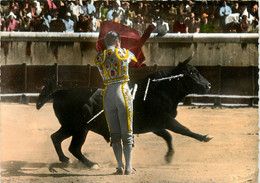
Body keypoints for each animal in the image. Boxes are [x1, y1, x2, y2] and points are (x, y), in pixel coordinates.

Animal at [36, 57, 213, 169]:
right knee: (72, 147)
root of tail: (60, 93)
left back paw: (66, 160)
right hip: (78, 128)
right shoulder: (165, 119)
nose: (209, 85)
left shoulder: (156, 125)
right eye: (193, 73)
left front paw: (168, 157)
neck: (158, 90)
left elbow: (168, 136)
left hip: (72, 128)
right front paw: (204, 137)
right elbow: (183, 130)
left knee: (57, 138)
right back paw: (91, 164)